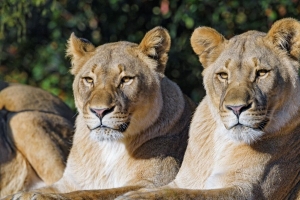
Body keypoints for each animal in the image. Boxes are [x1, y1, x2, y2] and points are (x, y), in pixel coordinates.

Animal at [5, 27, 197, 200]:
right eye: (89, 80)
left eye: (126, 79)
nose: (99, 111)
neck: (109, 147)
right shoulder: (69, 182)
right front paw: (22, 194)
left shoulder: (154, 183)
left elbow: (93, 192)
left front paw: (41, 196)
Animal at [119, 18, 300, 199]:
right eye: (223, 75)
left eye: (262, 73)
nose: (236, 108)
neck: (223, 141)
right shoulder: (182, 181)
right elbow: (169, 190)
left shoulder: (248, 191)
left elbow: (187, 194)